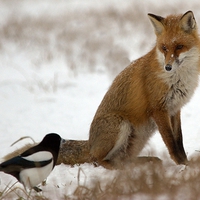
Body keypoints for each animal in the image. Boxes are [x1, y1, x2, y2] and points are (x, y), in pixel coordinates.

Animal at [88, 10, 200, 167]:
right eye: (164, 48)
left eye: (179, 46)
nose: (167, 67)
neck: (178, 79)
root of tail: (89, 145)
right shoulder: (158, 109)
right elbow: (171, 142)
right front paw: (182, 165)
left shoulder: (175, 108)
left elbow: (179, 140)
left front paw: (186, 163)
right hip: (122, 125)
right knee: (99, 160)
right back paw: (119, 168)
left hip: (137, 139)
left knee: (125, 158)